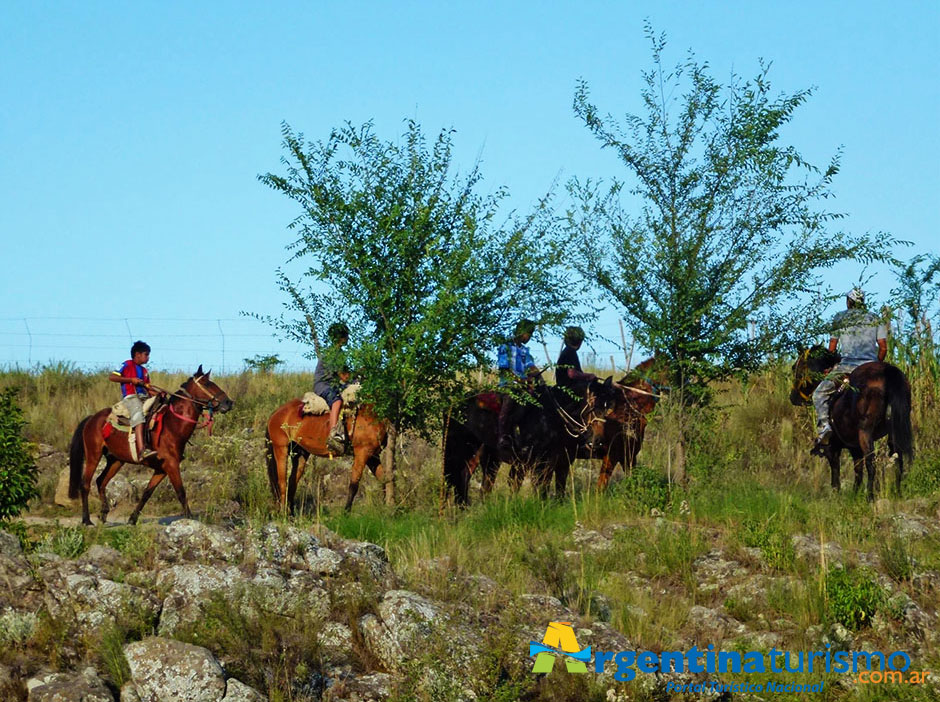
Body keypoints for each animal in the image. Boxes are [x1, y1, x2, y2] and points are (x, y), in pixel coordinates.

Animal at [68, 366, 233, 524]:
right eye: (207, 383)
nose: (228, 402)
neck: (172, 426)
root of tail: (92, 418)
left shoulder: (161, 469)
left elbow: (147, 493)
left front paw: (132, 519)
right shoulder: (171, 465)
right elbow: (181, 492)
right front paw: (190, 519)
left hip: (116, 460)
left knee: (101, 481)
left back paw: (103, 514)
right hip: (93, 455)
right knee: (85, 484)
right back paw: (86, 520)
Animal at [444, 380, 620, 506]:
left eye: (609, 407)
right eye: (592, 407)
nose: (597, 441)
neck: (553, 419)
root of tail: (455, 404)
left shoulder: (562, 462)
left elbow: (559, 490)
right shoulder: (540, 464)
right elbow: (541, 490)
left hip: (487, 456)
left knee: (468, 480)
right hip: (459, 452)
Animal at [788, 346, 916, 500]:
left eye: (796, 367)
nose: (793, 398)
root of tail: (888, 371)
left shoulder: (835, 447)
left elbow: (837, 470)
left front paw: (836, 493)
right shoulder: (853, 446)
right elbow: (857, 470)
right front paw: (854, 494)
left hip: (865, 432)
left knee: (871, 463)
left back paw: (870, 497)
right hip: (893, 432)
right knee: (898, 460)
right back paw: (897, 493)